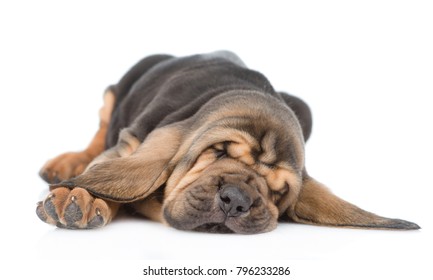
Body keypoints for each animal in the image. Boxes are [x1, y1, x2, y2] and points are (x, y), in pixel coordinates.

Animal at [35, 51, 420, 233]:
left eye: (279, 192)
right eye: (217, 152)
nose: (237, 200)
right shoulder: (132, 142)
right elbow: (106, 173)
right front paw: (79, 197)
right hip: (118, 90)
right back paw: (66, 165)